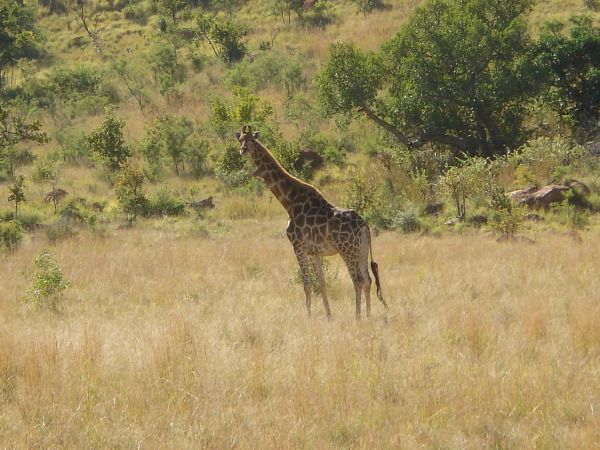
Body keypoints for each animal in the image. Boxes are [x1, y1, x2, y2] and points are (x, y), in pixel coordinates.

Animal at [233, 124, 384, 320]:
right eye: (240, 139)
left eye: (252, 140)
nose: (243, 150)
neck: (289, 202)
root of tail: (365, 226)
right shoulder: (314, 252)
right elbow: (321, 283)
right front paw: (328, 317)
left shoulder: (298, 246)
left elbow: (306, 284)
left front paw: (309, 317)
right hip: (362, 251)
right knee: (368, 280)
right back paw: (368, 316)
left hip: (347, 250)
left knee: (357, 280)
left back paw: (357, 318)